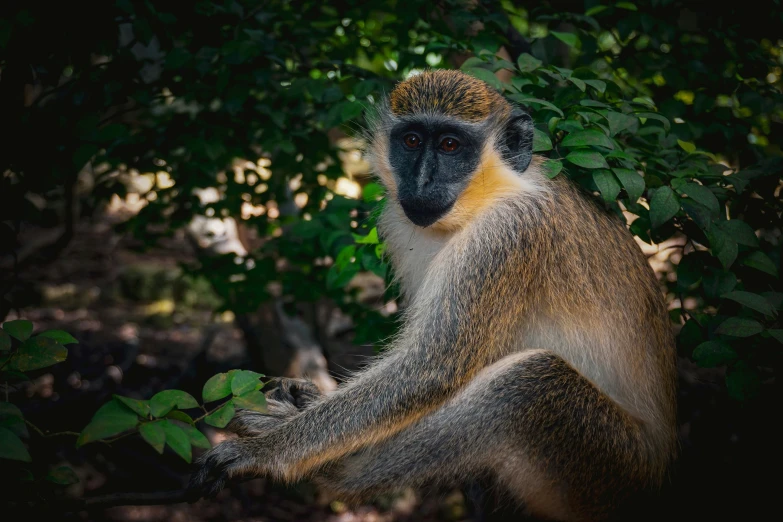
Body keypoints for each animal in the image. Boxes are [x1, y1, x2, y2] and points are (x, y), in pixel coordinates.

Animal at [187, 70, 676, 520]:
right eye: (412, 140)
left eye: (451, 146)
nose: (420, 183)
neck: (486, 198)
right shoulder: (398, 220)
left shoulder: (505, 237)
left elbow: (430, 370)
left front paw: (267, 452)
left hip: (612, 466)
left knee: (525, 384)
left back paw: (341, 473)